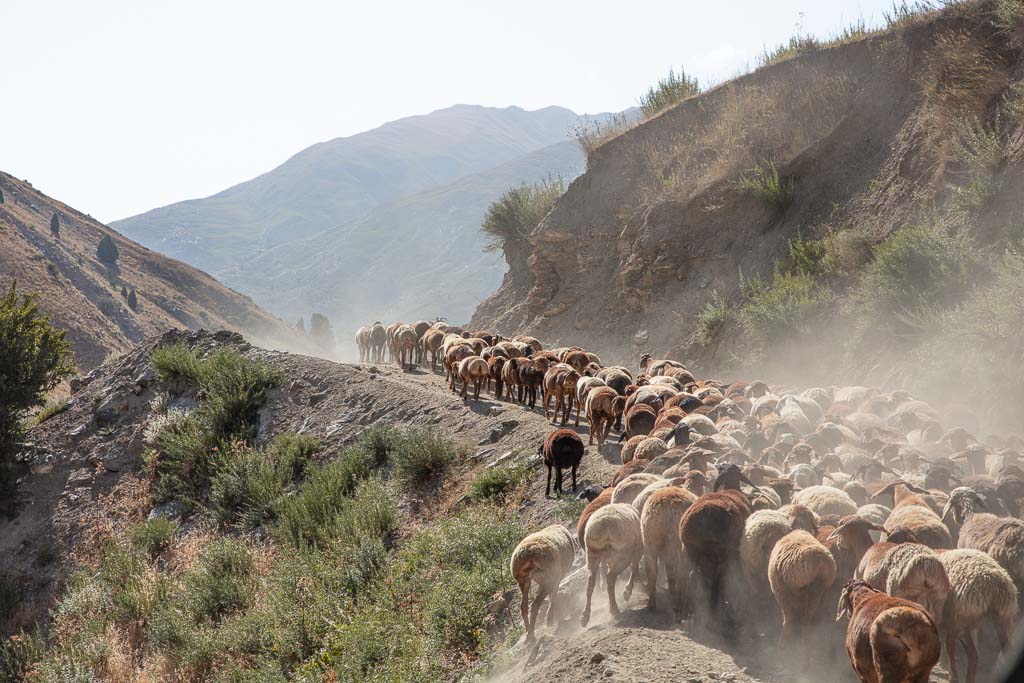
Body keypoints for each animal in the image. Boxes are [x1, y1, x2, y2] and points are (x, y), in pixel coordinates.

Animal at [638, 485, 696, 614]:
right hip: (678, 545)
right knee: (681, 572)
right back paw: (680, 604)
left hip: (650, 541)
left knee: (652, 571)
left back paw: (653, 604)